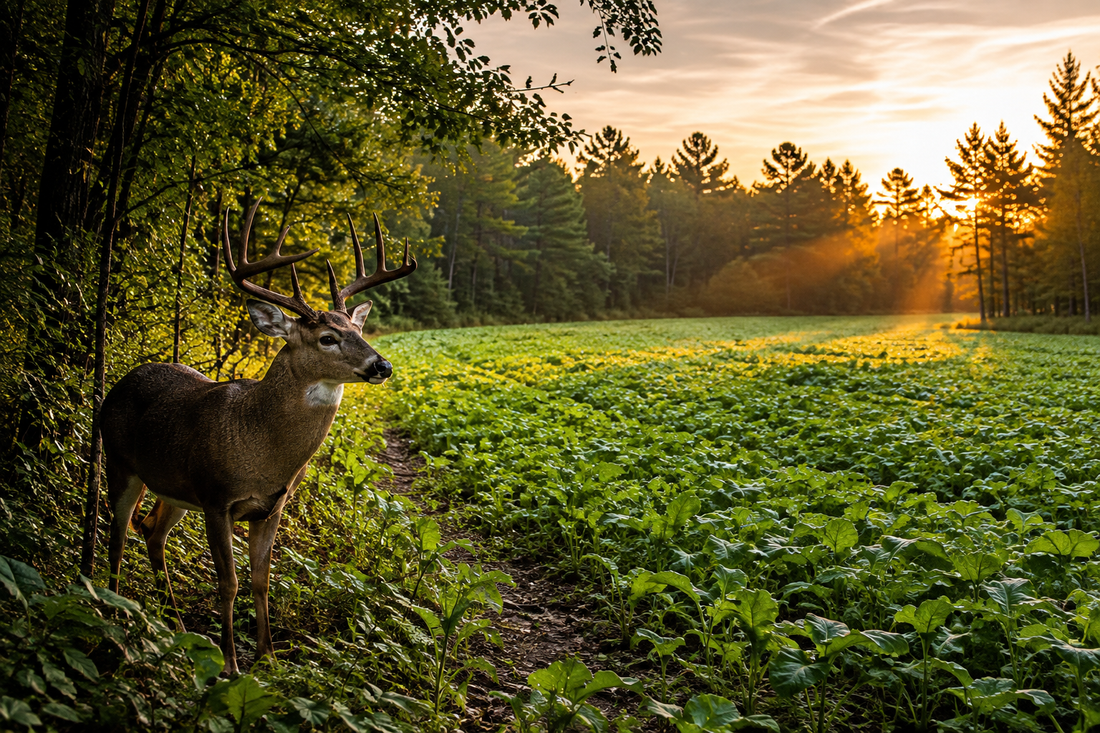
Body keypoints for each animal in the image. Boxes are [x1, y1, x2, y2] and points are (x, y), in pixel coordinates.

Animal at [101, 200, 415, 674]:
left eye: (358, 331)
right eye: (327, 337)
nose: (382, 365)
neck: (261, 448)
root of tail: (118, 383)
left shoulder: (270, 507)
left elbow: (262, 580)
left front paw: (268, 657)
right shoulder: (217, 498)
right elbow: (228, 583)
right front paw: (230, 664)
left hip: (174, 489)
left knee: (151, 532)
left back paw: (176, 626)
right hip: (119, 464)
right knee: (117, 539)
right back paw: (115, 622)